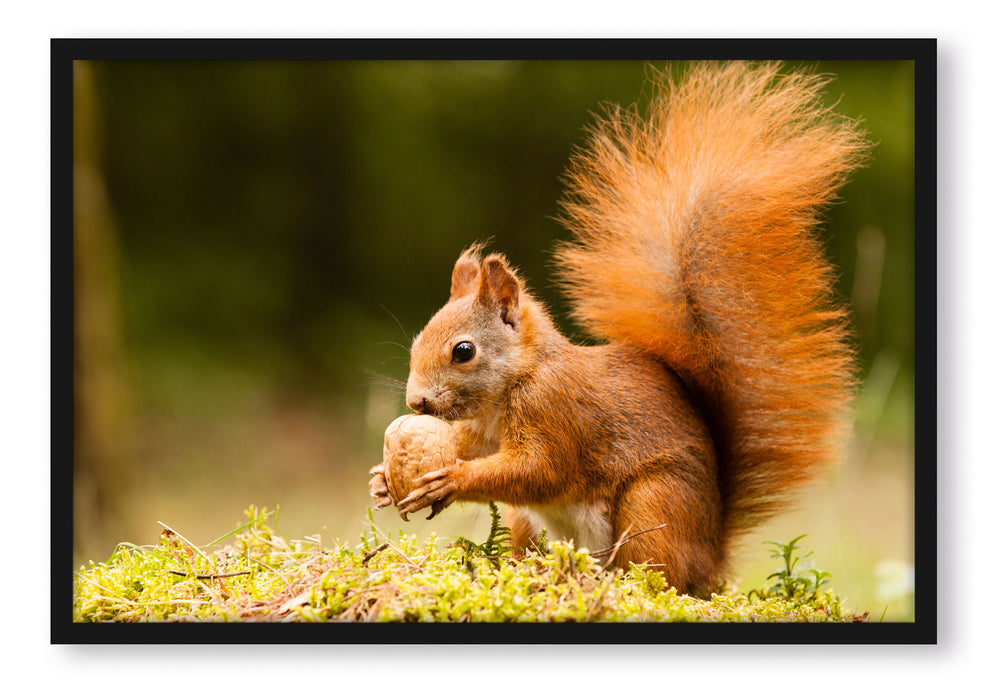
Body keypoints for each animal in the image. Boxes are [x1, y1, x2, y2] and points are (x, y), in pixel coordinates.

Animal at [369, 61, 869, 594]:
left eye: (463, 351)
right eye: (417, 341)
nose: (416, 402)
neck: (513, 385)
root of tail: (712, 557)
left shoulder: (557, 412)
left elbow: (539, 471)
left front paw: (453, 479)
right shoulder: (482, 434)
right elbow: (473, 450)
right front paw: (382, 478)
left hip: (655, 502)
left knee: (657, 572)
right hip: (532, 522)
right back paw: (531, 569)